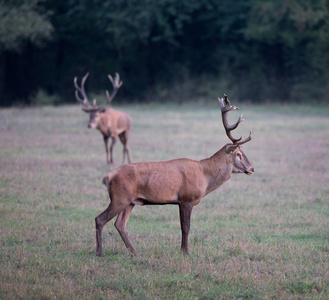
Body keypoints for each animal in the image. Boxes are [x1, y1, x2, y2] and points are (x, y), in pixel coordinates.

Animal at [95, 95, 254, 256]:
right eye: (238, 154)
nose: (252, 168)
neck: (204, 176)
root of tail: (107, 177)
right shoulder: (186, 199)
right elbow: (186, 227)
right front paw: (186, 251)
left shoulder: (180, 201)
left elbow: (183, 227)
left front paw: (183, 250)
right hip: (120, 198)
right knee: (100, 219)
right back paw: (100, 252)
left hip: (130, 201)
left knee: (119, 224)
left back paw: (134, 252)